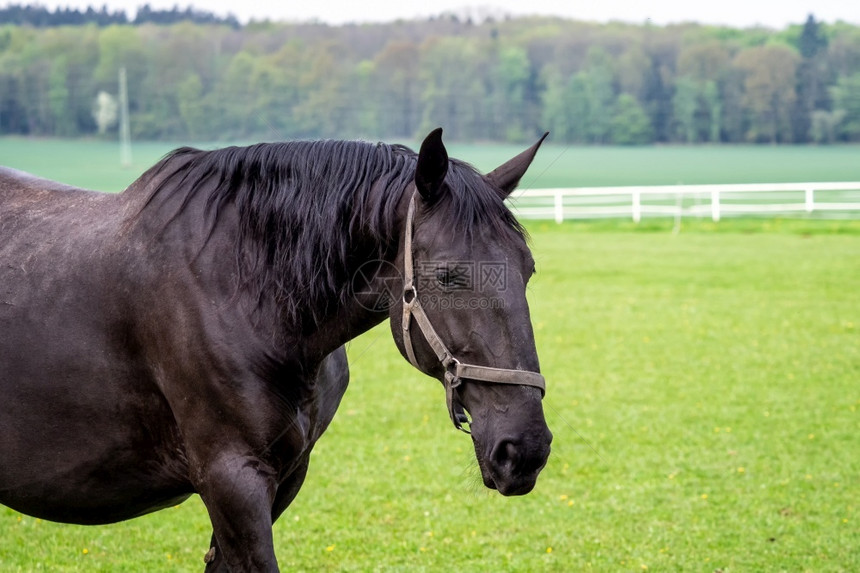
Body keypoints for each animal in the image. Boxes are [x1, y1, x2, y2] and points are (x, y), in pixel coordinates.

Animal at [0, 127, 552, 568]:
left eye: (529, 270)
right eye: (448, 276)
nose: (525, 449)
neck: (245, 290)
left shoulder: (284, 477)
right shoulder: (232, 481)